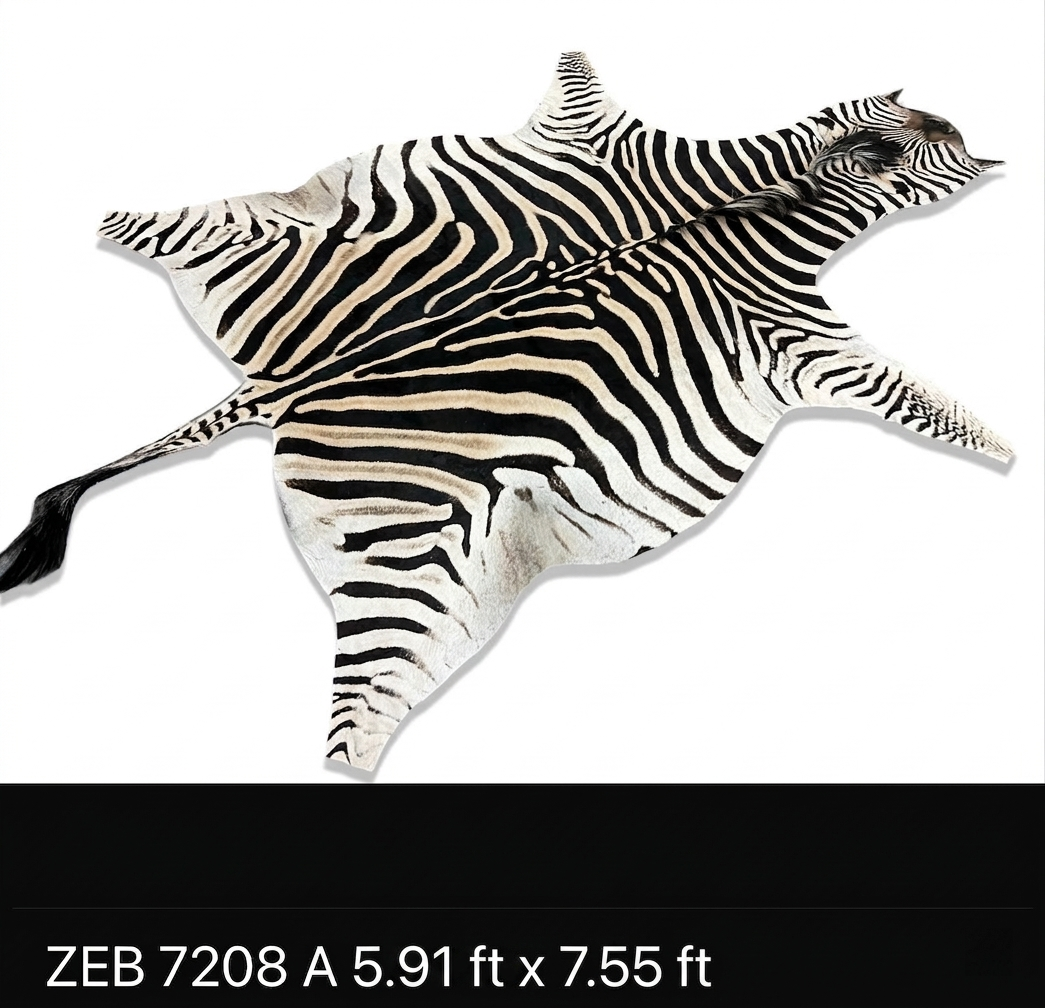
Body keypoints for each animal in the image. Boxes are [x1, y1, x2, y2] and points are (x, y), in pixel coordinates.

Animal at [0, 53, 1009, 770]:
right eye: (946, 144)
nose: (971, 134)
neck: (774, 208)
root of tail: (287, 386)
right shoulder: (796, 334)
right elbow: (917, 399)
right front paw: (1000, 447)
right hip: (411, 544)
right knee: (367, 697)